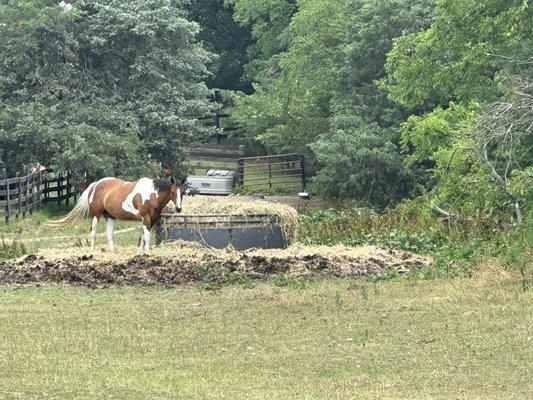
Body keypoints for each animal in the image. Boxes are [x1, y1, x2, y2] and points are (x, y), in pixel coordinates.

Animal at [45, 177, 183, 252]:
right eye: (172, 191)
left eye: (182, 192)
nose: (178, 208)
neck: (151, 194)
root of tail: (95, 184)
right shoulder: (146, 219)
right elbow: (147, 237)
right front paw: (147, 253)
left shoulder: (152, 220)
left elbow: (144, 237)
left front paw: (141, 252)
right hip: (95, 215)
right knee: (93, 233)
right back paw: (92, 250)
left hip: (110, 217)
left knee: (109, 234)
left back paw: (112, 250)